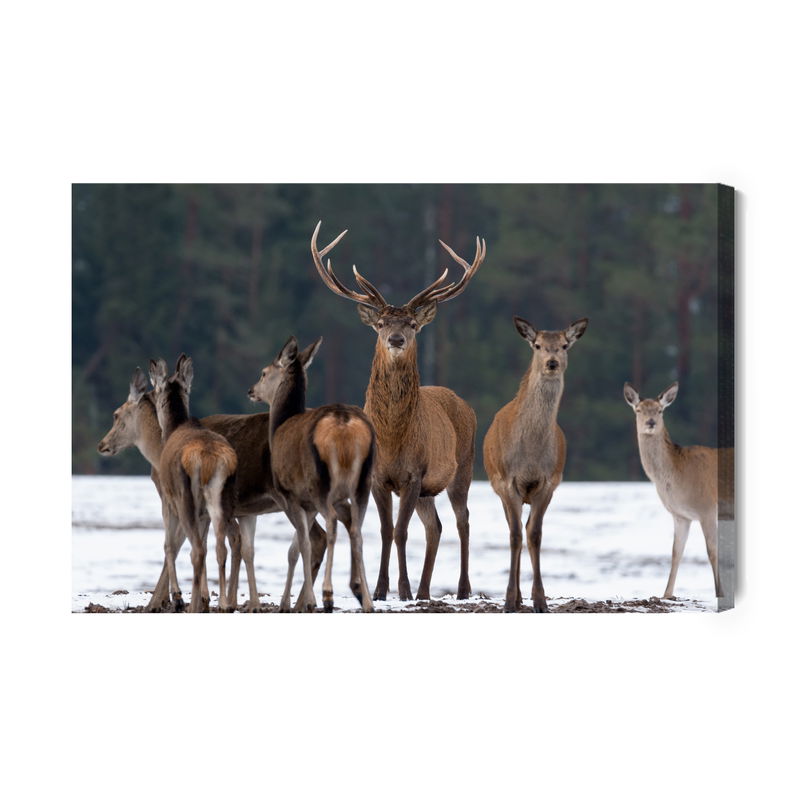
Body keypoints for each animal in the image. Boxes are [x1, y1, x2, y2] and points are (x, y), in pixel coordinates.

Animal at [97, 368, 329, 611]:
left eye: (116, 415)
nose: (102, 444)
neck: (157, 450)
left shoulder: (174, 500)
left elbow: (178, 544)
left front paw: (165, 601)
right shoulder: (232, 512)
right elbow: (229, 544)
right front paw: (219, 600)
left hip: (288, 498)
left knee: (314, 539)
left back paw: (301, 602)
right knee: (317, 538)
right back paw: (302, 602)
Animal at [249, 336, 376, 612]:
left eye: (263, 372)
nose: (251, 390)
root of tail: (344, 423)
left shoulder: (291, 496)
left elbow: (303, 545)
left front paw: (305, 600)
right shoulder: (317, 502)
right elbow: (300, 546)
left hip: (319, 482)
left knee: (332, 524)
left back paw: (328, 595)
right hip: (363, 482)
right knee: (357, 530)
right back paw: (367, 599)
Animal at [311, 221, 483, 602]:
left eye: (413, 325)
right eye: (381, 324)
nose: (396, 339)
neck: (391, 438)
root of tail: (465, 404)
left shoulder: (413, 474)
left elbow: (401, 532)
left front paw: (400, 590)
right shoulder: (376, 477)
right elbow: (385, 531)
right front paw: (378, 589)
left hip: (462, 467)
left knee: (462, 521)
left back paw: (462, 589)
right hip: (429, 491)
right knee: (436, 526)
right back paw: (424, 591)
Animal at [483, 316, 589, 612]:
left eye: (564, 345)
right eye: (538, 345)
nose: (551, 362)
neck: (530, 455)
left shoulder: (548, 484)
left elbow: (535, 535)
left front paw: (540, 600)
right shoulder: (508, 483)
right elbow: (515, 536)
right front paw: (509, 600)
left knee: (526, 529)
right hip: (499, 486)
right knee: (514, 530)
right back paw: (517, 596)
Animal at [623, 381, 724, 599]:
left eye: (660, 410)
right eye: (638, 409)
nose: (651, 422)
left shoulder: (707, 509)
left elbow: (712, 551)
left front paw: (719, 592)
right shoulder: (680, 515)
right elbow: (676, 552)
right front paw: (666, 594)